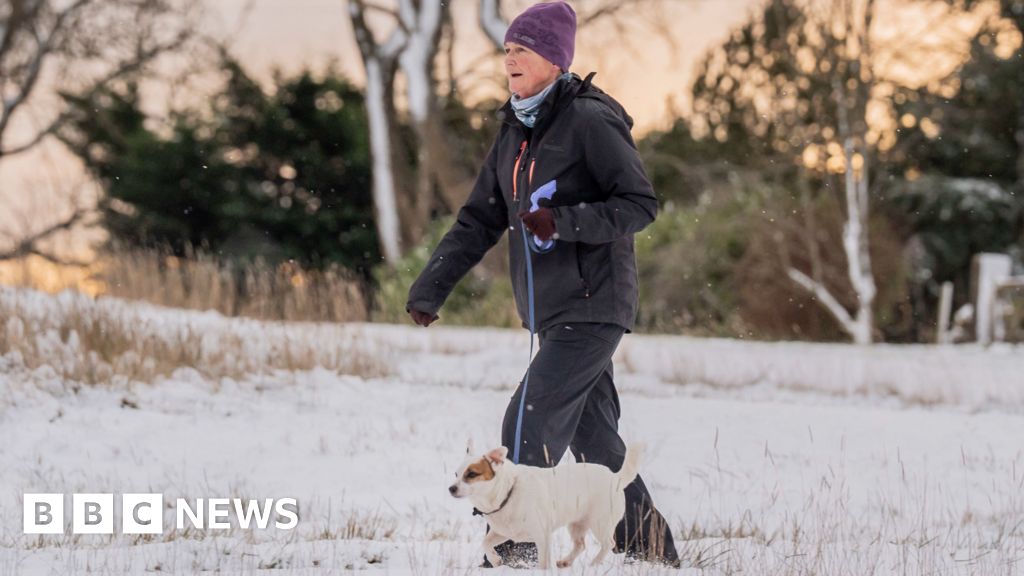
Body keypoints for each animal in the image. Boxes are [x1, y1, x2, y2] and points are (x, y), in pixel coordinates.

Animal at [448, 440, 638, 565]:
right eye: (456, 474)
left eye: (472, 474)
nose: (451, 488)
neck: (507, 492)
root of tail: (616, 477)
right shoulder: (503, 532)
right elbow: (485, 543)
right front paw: (495, 560)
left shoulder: (542, 535)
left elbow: (544, 562)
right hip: (576, 524)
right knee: (580, 544)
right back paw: (566, 562)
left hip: (600, 522)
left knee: (608, 544)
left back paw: (594, 564)